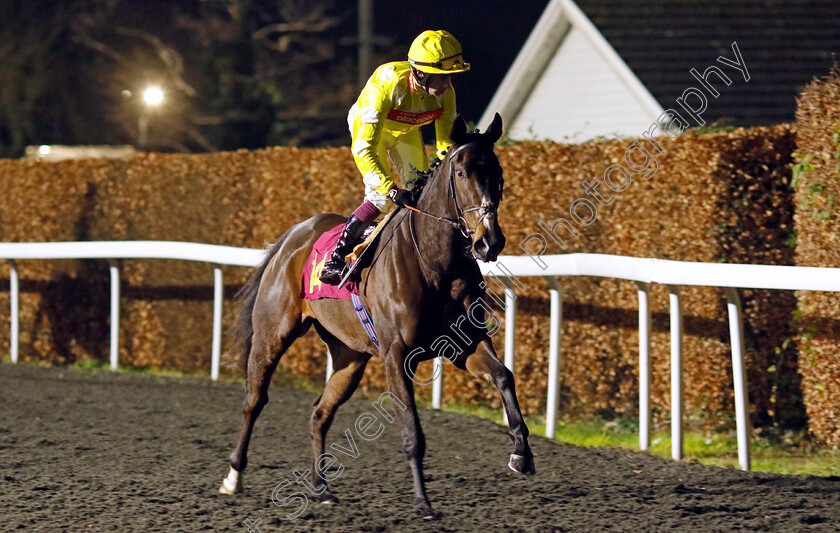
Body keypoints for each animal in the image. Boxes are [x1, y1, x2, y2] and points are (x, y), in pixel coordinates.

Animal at [217, 114, 532, 516]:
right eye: (461, 172)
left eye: (498, 172)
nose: (488, 241)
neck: (435, 264)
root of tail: (292, 237)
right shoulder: (397, 355)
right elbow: (412, 430)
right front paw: (423, 502)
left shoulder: (465, 344)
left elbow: (504, 376)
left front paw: (521, 454)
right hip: (272, 336)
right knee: (254, 401)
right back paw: (233, 477)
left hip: (349, 356)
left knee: (320, 412)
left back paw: (320, 488)